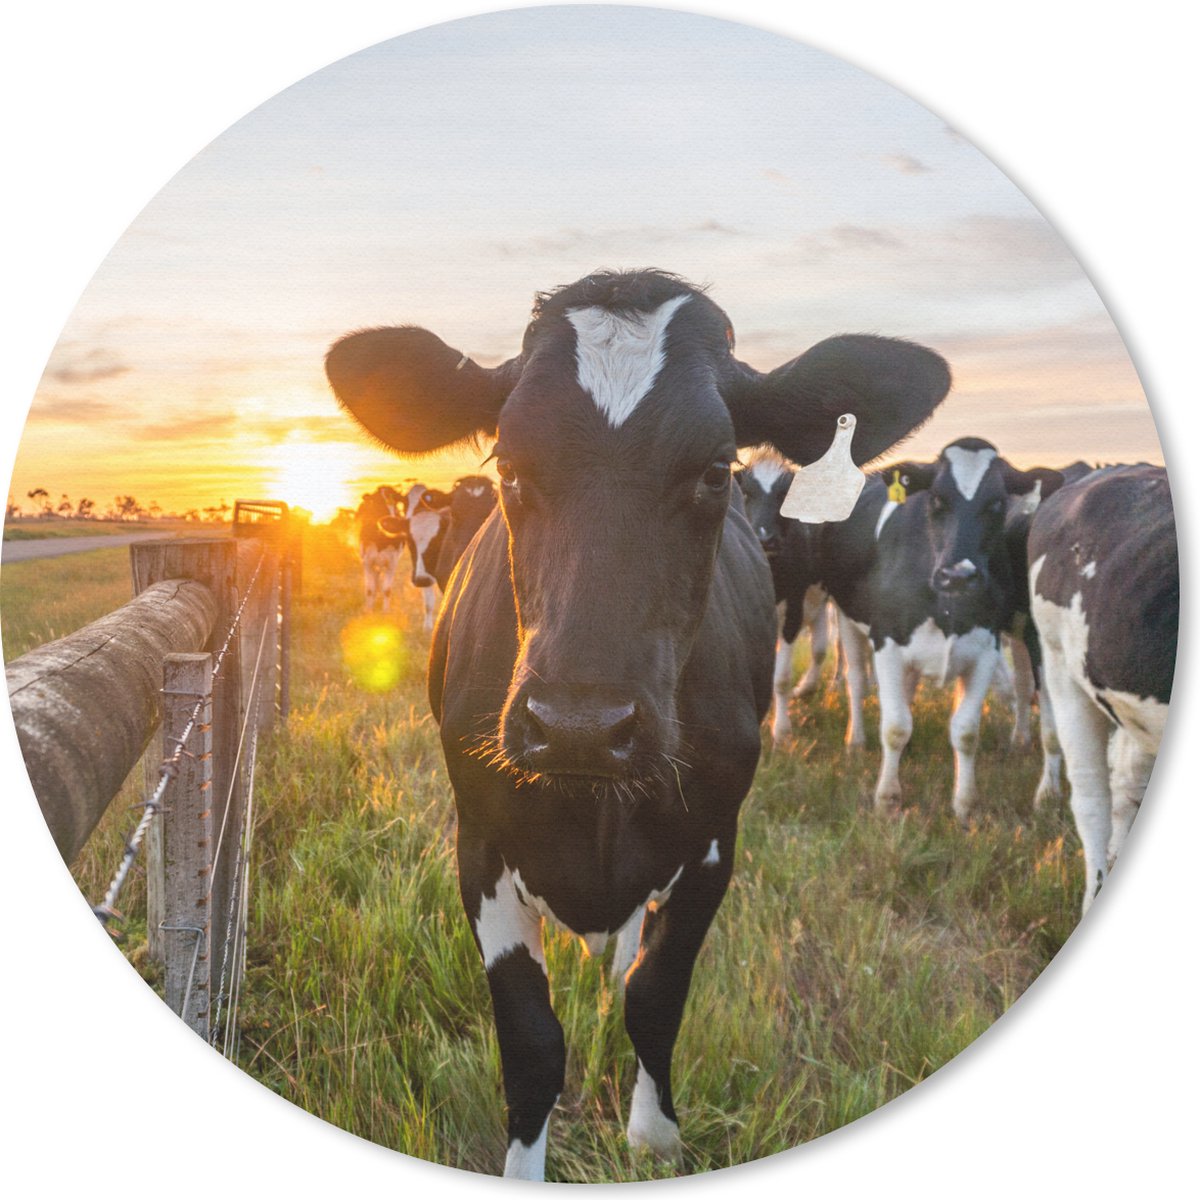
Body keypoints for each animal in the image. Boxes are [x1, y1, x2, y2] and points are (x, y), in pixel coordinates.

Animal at [736, 449, 834, 742]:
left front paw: (781, 730)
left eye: (784, 495)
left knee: (825, 648)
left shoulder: (793, 610)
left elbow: (780, 678)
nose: (765, 538)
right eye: (746, 493)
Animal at [822, 438, 1062, 821]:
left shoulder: (984, 648)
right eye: (936, 498)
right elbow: (894, 726)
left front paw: (965, 805)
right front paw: (887, 799)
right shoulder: (886, 641)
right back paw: (855, 742)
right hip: (846, 617)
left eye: (997, 502)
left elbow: (965, 731)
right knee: (856, 679)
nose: (957, 575)